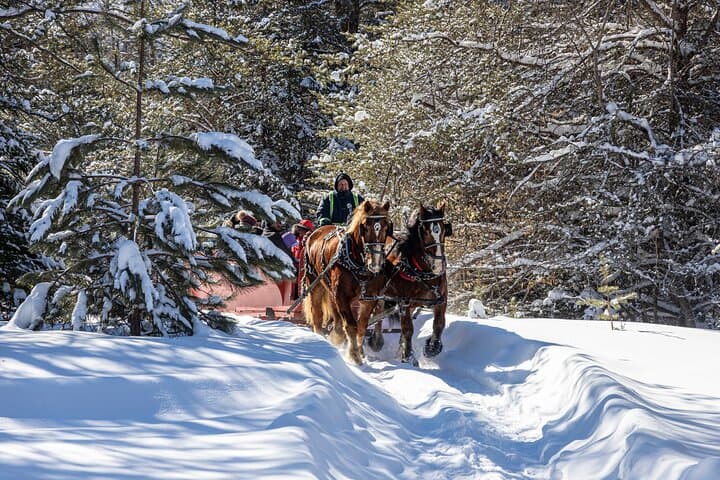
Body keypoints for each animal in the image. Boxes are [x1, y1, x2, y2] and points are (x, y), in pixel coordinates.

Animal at [302, 199, 393, 364]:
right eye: (365, 227)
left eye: (386, 227)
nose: (375, 263)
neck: (359, 263)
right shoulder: (342, 296)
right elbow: (351, 325)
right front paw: (354, 355)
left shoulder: (369, 298)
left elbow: (361, 326)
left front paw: (359, 351)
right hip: (315, 284)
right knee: (317, 315)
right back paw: (320, 339)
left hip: (331, 291)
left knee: (337, 319)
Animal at [368, 202, 451, 366]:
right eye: (425, 232)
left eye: (444, 230)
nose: (439, 266)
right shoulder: (404, 303)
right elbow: (408, 329)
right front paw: (408, 356)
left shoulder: (441, 300)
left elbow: (439, 324)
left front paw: (432, 348)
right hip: (381, 296)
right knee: (378, 316)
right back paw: (376, 342)